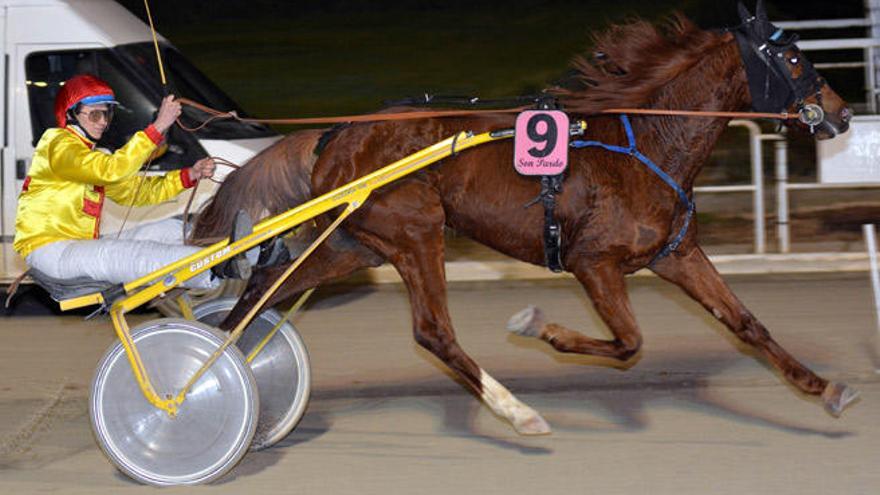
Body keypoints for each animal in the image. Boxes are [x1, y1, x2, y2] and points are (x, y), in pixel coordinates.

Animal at [194, 3, 860, 436]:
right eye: (793, 57)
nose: (843, 112)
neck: (647, 140)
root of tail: (335, 134)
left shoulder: (678, 254)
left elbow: (747, 324)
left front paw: (826, 388)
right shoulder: (594, 262)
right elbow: (628, 342)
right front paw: (542, 329)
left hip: (358, 244)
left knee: (264, 287)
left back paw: (219, 366)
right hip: (415, 230)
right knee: (433, 332)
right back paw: (519, 412)